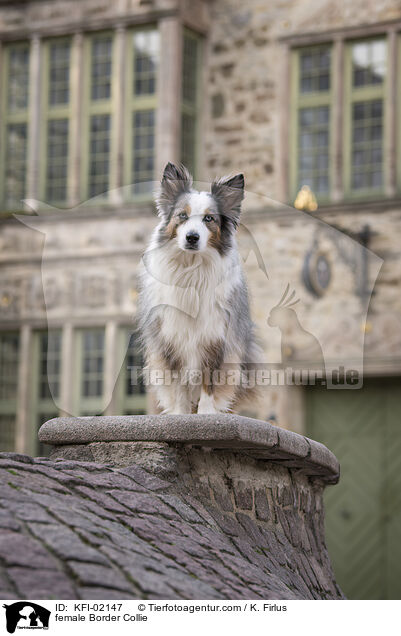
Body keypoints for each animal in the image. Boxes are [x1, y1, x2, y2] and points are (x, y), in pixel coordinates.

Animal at [137, 161, 262, 414]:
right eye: (182, 216)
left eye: (209, 219)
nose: (192, 237)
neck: (192, 269)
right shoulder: (171, 340)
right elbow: (179, 387)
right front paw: (180, 414)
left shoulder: (216, 340)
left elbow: (209, 382)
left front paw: (206, 413)